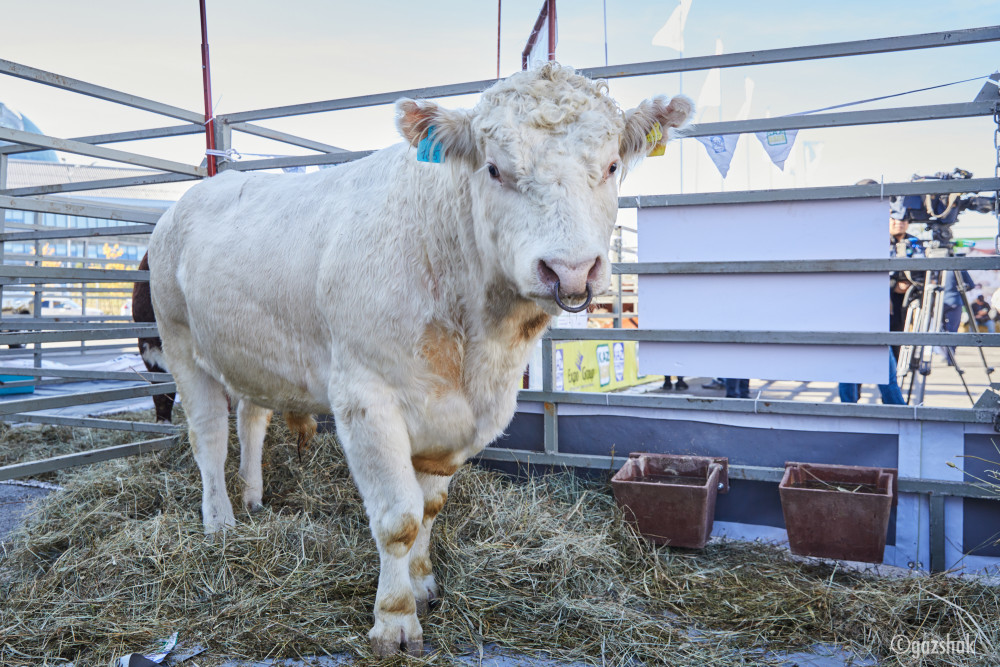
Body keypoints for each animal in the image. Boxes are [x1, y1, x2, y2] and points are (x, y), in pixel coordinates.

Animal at [148, 62, 692, 656]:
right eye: (495, 169)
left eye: (612, 165)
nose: (570, 270)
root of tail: (189, 196)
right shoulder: (366, 399)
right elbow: (399, 520)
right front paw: (395, 619)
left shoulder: (459, 418)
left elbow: (430, 508)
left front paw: (424, 582)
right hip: (180, 342)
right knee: (208, 434)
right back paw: (220, 522)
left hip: (252, 355)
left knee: (252, 418)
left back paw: (252, 497)